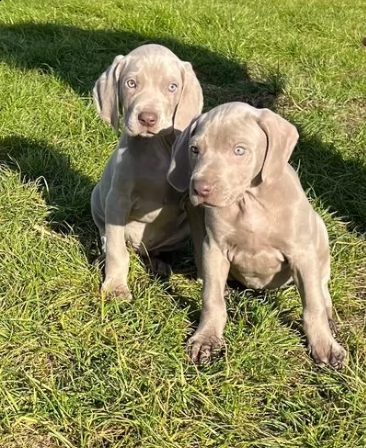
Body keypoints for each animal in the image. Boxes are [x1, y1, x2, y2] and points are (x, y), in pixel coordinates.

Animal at [90, 44, 202, 298]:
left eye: (172, 87)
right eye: (131, 83)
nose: (148, 119)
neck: (154, 148)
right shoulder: (117, 200)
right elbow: (116, 251)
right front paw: (116, 287)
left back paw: (159, 262)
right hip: (97, 199)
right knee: (107, 239)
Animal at [168, 102, 346, 372]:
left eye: (239, 150)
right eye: (195, 149)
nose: (200, 188)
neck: (249, 202)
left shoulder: (302, 253)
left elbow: (312, 305)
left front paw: (324, 345)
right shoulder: (214, 248)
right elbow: (211, 298)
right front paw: (206, 339)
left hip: (319, 231)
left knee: (322, 285)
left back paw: (329, 318)